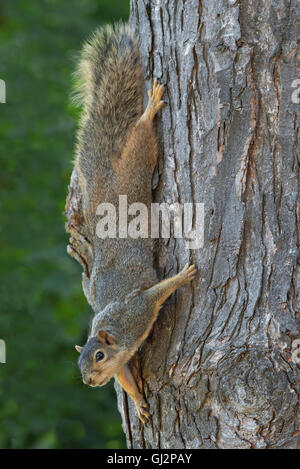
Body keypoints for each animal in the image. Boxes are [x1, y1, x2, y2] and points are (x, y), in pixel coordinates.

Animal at [70, 22, 197, 424]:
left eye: (98, 355)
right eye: (80, 363)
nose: (89, 381)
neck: (115, 335)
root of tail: (107, 181)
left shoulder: (136, 312)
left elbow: (158, 292)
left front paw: (183, 276)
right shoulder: (123, 360)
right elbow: (125, 378)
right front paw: (139, 402)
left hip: (138, 161)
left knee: (142, 132)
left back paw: (151, 106)